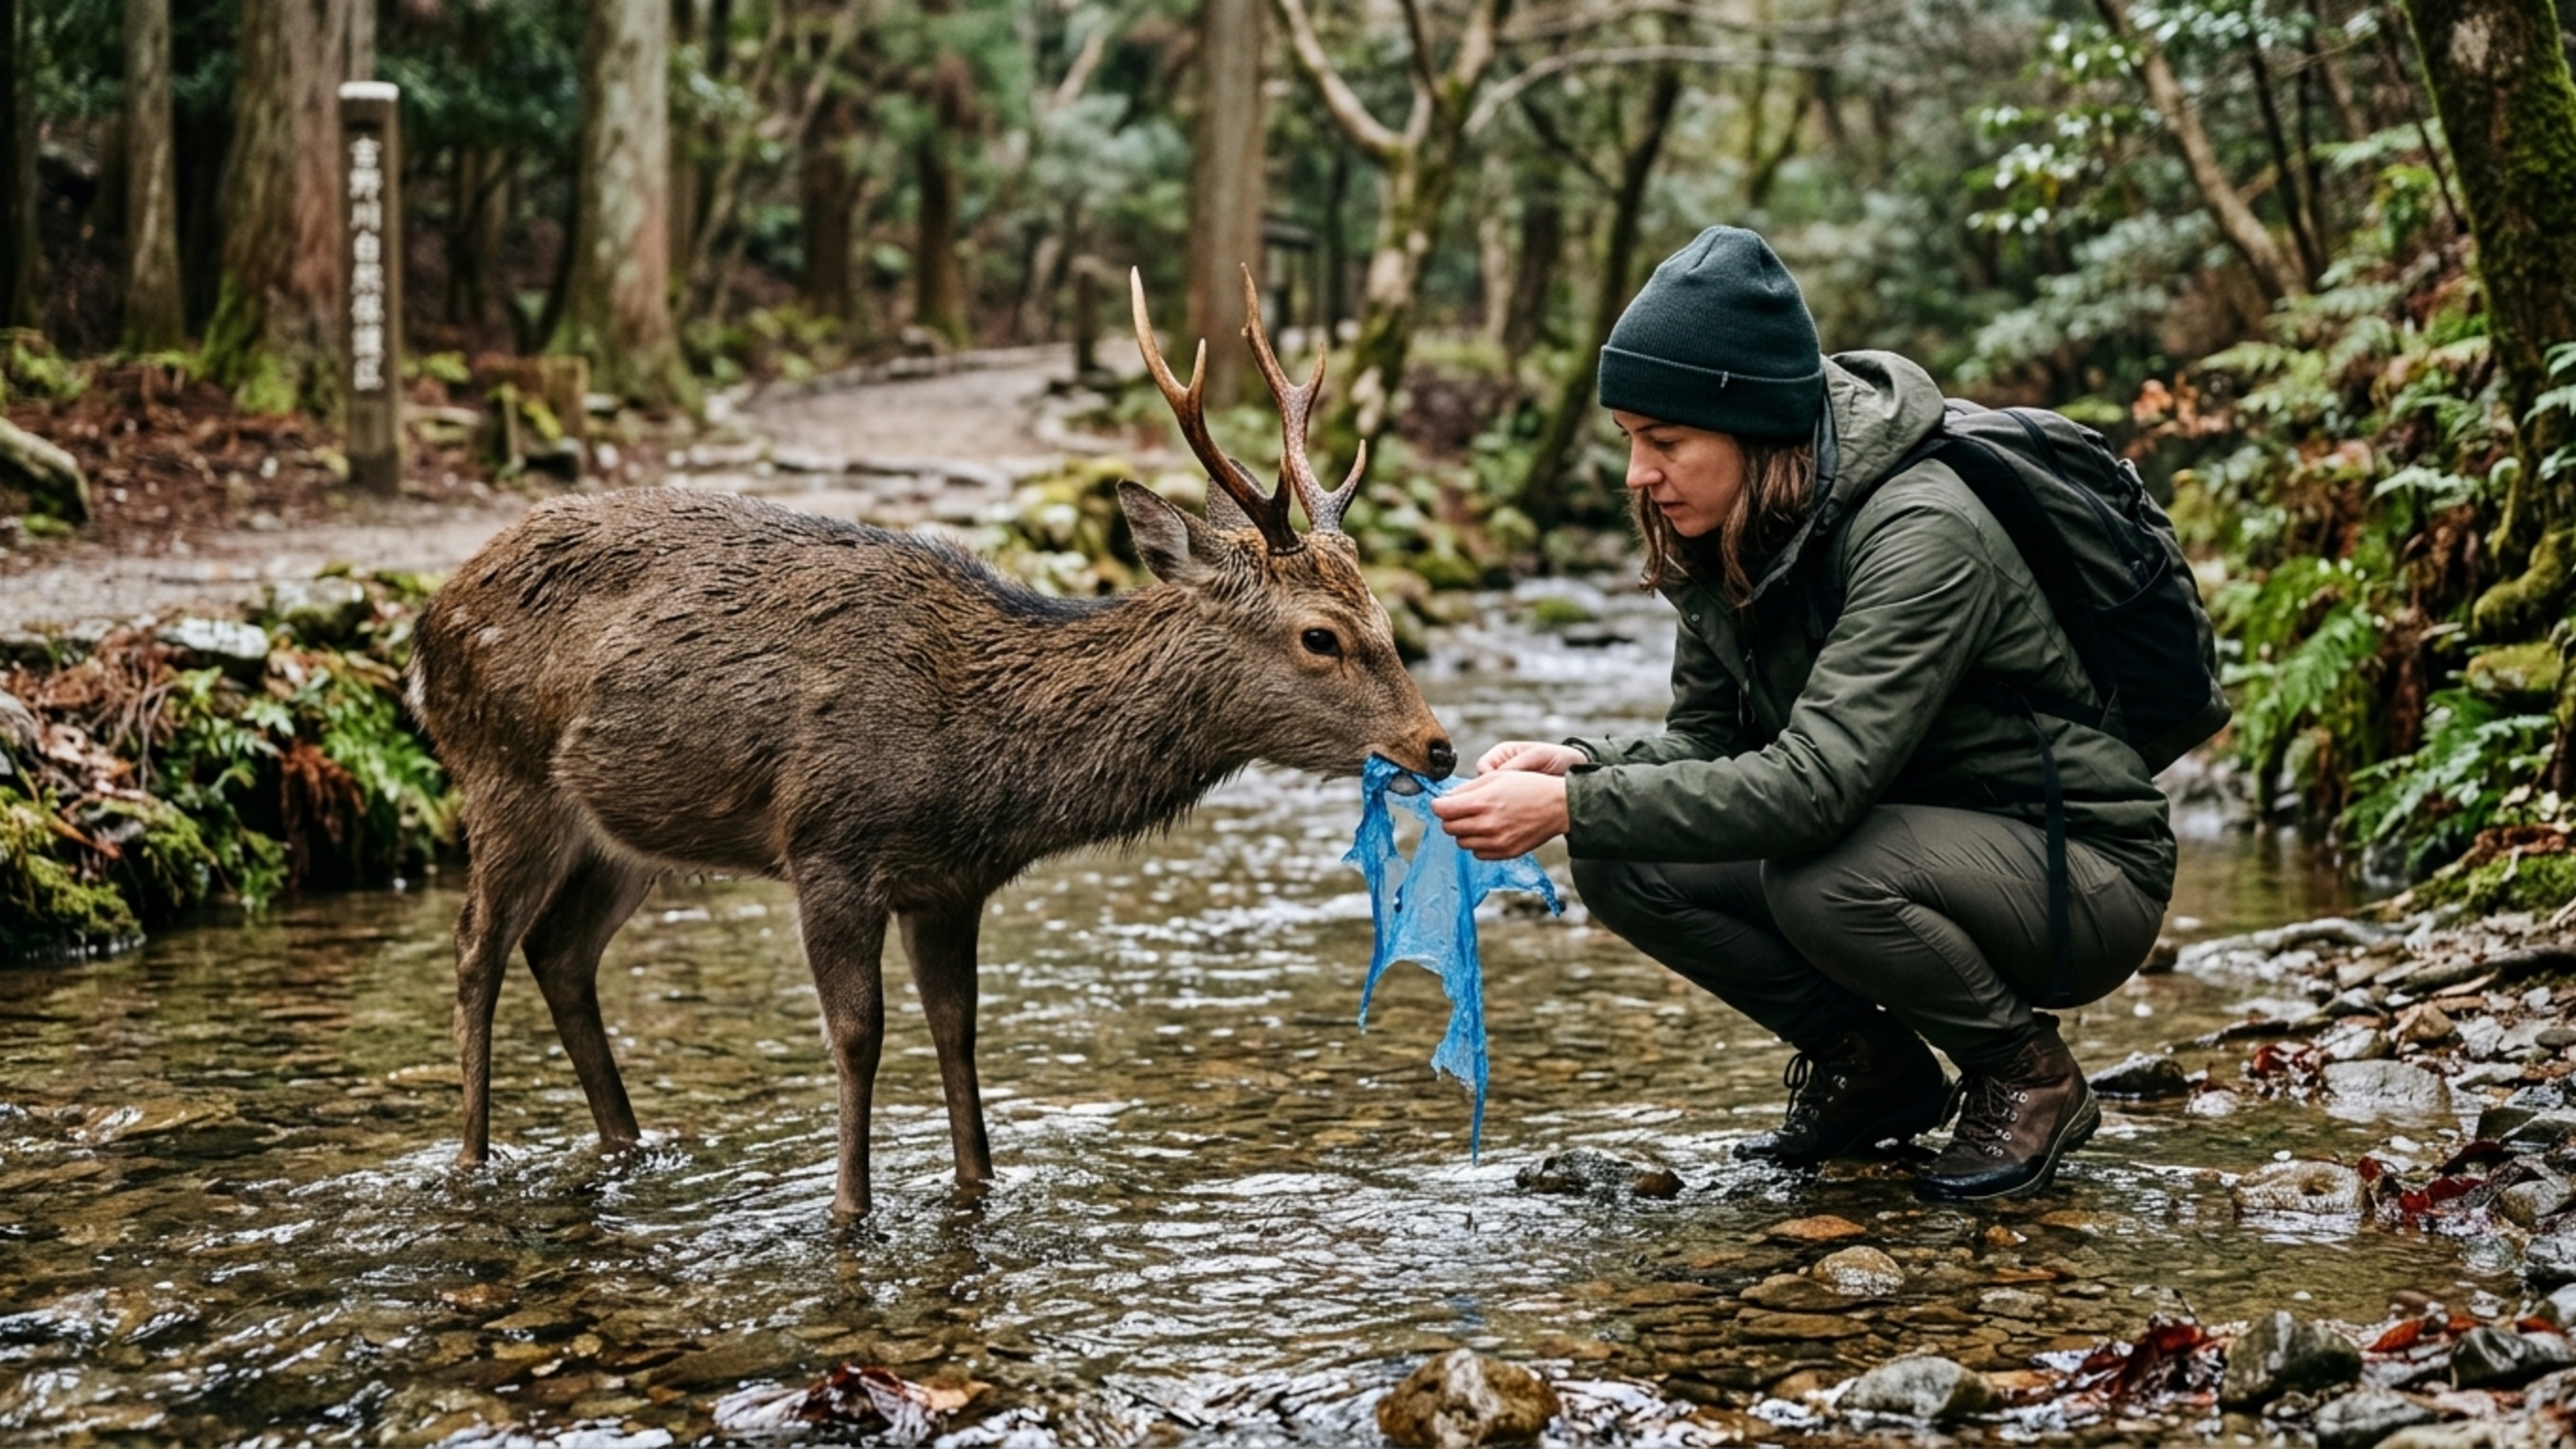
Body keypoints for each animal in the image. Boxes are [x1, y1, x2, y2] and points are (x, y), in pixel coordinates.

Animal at [406, 269, 1455, 1216]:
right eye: (1320, 635)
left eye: (1384, 613)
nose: (1437, 746)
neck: (976, 764)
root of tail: (425, 624)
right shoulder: (827, 844)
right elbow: (859, 1035)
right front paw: (849, 1210)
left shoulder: (950, 883)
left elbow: (958, 1031)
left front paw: (976, 1187)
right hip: (502, 774)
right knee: (476, 949)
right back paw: (472, 1158)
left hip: (627, 833)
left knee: (560, 951)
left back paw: (629, 1144)